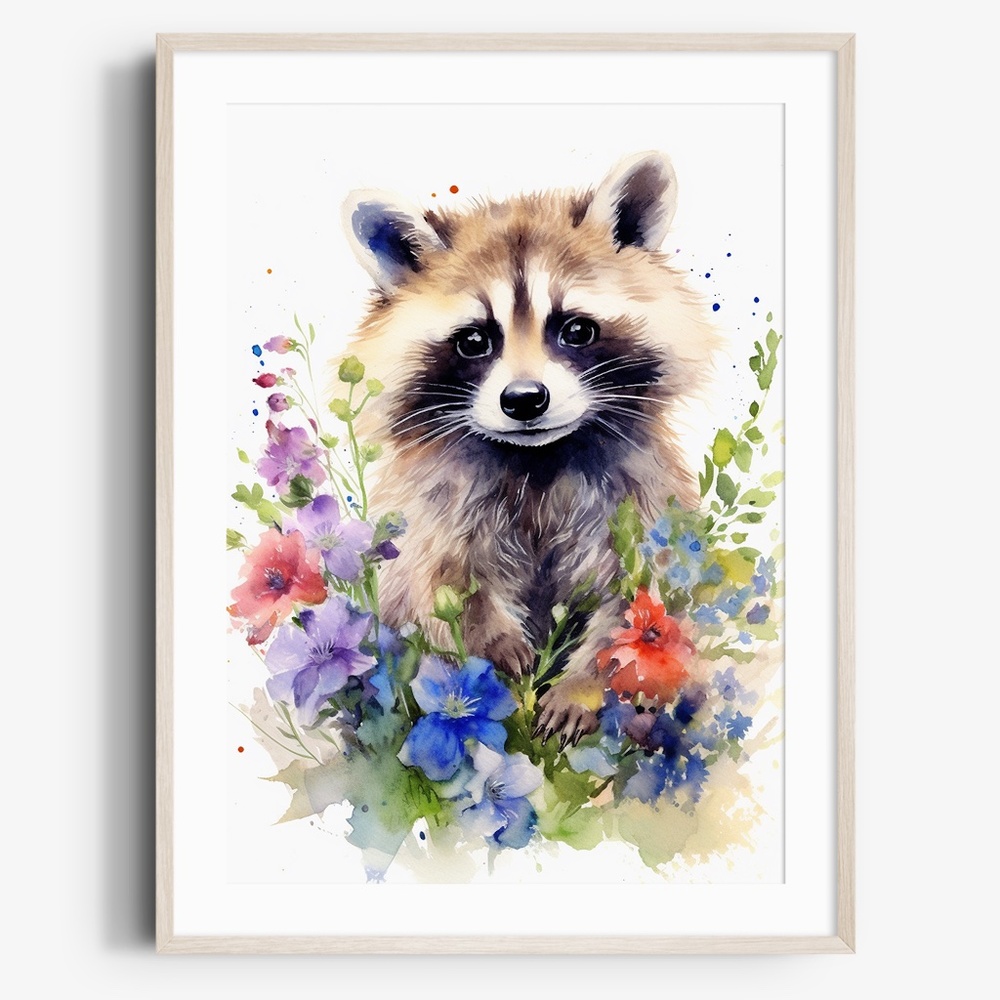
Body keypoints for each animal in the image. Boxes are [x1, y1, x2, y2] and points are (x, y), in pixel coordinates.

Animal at [340, 152, 720, 745]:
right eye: (474, 340)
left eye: (577, 330)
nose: (524, 400)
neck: (538, 458)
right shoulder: (436, 504)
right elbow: (438, 579)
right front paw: (492, 640)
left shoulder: (638, 496)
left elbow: (638, 601)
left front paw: (584, 684)